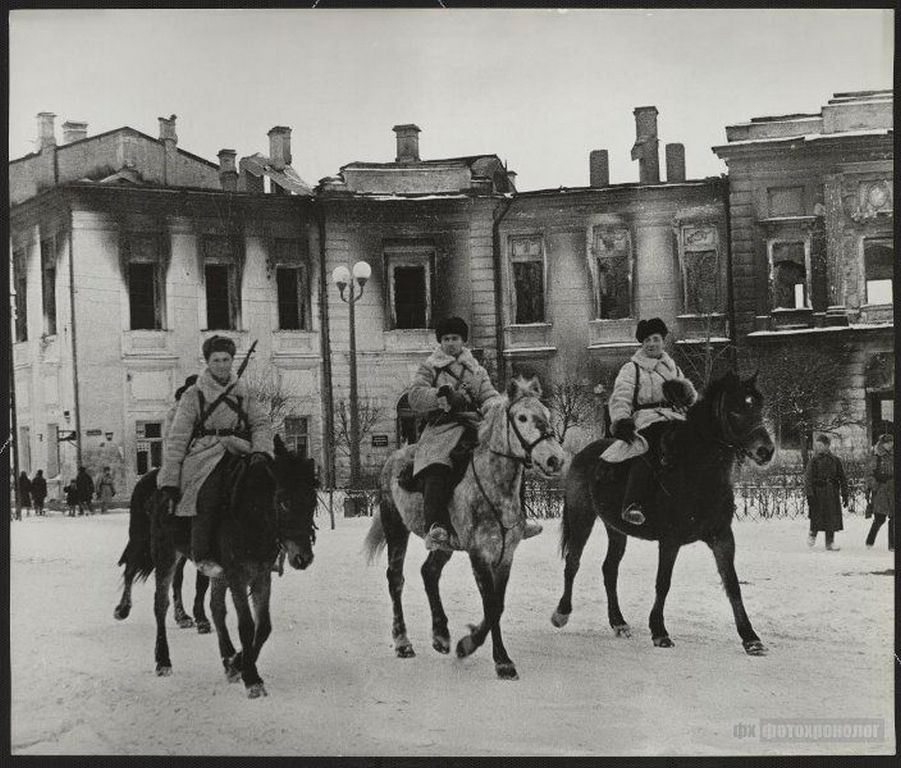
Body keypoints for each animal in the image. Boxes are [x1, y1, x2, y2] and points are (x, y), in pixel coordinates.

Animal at [114, 438, 320, 696]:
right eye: (284, 502)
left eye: (313, 501)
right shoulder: (236, 575)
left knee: (215, 607)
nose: (303, 558)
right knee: (156, 598)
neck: (250, 516)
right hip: (161, 551)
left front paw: (238, 662)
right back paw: (160, 656)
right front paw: (252, 678)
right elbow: (247, 625)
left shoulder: (261, 576)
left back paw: (225, 656)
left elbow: (263, 627)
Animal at [552, 370, 776, 656]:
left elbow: (732, 584)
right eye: (735, 410)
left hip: (616, 530)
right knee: (573, 562)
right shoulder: (670, 540)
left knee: (609, 569)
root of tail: (583, 455)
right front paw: (659, 631)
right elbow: (663, 583)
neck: (696, 469)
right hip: (582, 517)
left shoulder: (722, 537)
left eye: (758, 405)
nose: (766, 450)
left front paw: (750, 638)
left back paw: (619, 622)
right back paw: (562, 613)